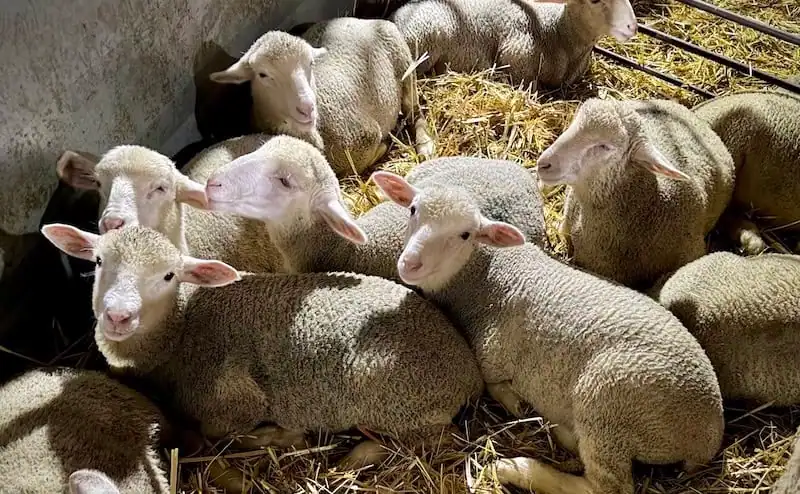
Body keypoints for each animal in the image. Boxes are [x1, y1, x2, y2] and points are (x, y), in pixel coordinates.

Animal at [40, 223, 484, 469]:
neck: (179, 333)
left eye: (168, 276)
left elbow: (220, 431)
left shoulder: (232, 398)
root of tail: (468, 372)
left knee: (432, 440)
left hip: (396, 401)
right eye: (98, 261)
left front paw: (281, 436)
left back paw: (355, 454)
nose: (118, 316)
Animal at [209, 17, 435, 176]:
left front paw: (386, 145)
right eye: (262, 74)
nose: (308, 108)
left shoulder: (366, 137)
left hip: (404, 62)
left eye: (310, 63)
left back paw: (425, 145)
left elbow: (356, 164)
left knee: (415, 112)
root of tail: (354, 19)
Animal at [374, 173, 725, 494]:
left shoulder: (492, 356)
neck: (485, 274)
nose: (410, 263)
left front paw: (517, 404)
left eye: (464, 234)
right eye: (413, 210)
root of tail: (707, 434)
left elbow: (496, 386)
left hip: (608, 403)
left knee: (605, 486)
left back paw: (516, 468)